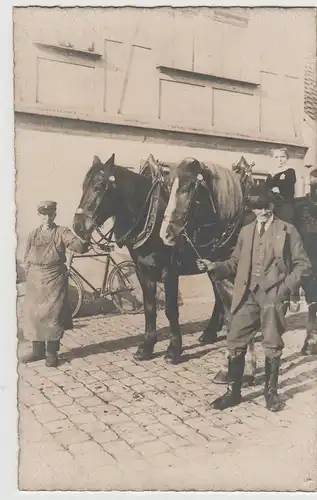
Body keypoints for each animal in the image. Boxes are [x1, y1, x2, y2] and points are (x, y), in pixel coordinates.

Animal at [73, 152, 253, 364]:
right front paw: (147, 346)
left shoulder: (169, 271)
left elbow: (170, 309)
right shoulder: (143, 269)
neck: (152, 216)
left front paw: (174, 349)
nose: (78, 226)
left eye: (99, 186)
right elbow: (150, 307)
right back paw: (210, 332)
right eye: (83, 186)